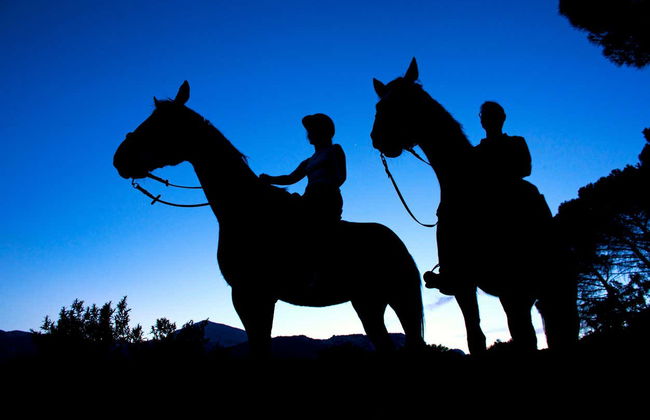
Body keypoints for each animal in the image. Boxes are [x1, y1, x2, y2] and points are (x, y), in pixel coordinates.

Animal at [113, 81, 425, 357]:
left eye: (158, 125)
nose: (119, 159)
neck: (248, 210)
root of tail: (398, 242)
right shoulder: (251, 296)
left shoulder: (252, 294)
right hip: (368, 302)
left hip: (398, 299)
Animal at [371, 59, 578, 354]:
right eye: (379, 105)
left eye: (405, 101)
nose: (379, 139)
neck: (470, 189)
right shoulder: (463, 284)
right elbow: (475, 339)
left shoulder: (512, 287)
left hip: (548, 289)